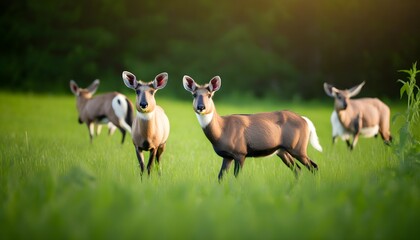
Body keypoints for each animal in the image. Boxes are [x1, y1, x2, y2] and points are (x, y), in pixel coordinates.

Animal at [182, 75, 324, 180]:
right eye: (194, 94)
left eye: (210, 95)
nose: (201, 107)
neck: (222, 131)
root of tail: (305, 120)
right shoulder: (227, 156)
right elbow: (220, 177)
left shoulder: (240, 152)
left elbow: (236, 177)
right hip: (283, 151)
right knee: (298, 170)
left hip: (298, 148)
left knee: (314, 166)